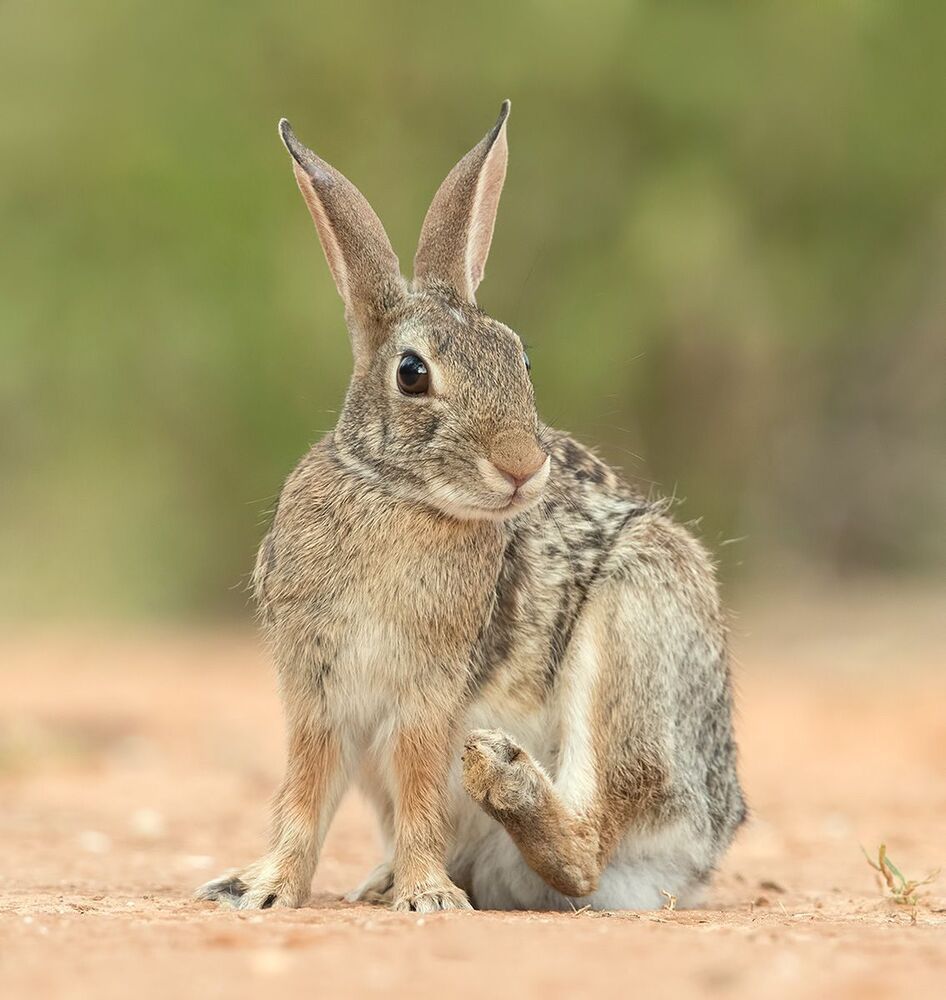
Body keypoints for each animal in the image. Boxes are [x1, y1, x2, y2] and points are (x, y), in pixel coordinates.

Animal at [196, 100, 746, 914]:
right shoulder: (317, 687)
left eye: (522, 359)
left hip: (642, 620)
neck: (395, 493)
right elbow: (304, 794)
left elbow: (421, 783)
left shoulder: (429, 688)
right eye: (412, 373)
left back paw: (505, 787)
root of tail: (700, 850)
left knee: (584, 849)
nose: (522, 465)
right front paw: (266, 890)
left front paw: (428, 897)